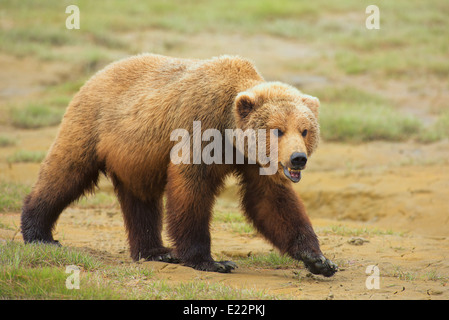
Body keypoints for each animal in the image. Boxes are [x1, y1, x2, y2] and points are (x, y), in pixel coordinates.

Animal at [21, 53, 336, 276]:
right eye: (277, 130)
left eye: (305, 130)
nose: (298, 158)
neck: (230, 130)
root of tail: (97, 73)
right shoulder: (199, 128)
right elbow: (191, 192)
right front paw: (211, 261)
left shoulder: (255, 161)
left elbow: (271, 202)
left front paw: (319, 260)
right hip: (93, 125)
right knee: (65, 172)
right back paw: (38, 234)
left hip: (136, 156)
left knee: (140, 199)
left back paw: (155, 250)